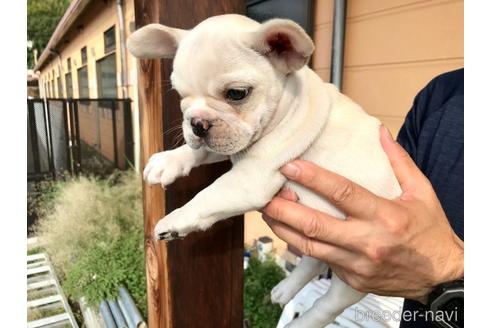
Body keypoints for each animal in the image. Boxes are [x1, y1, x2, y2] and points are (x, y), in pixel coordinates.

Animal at [127, 14, 400, 326]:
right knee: (313, 259)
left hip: (359, 271)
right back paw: (285, 289)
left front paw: (175, 221)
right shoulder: (230, 143)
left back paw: (302, 322)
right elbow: (199, 151)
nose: (196, 123)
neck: (288, 103)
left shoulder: (250, 178)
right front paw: (168, 161)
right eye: (180, 95)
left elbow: (208, 196)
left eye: (237, 94)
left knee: (328, 305)